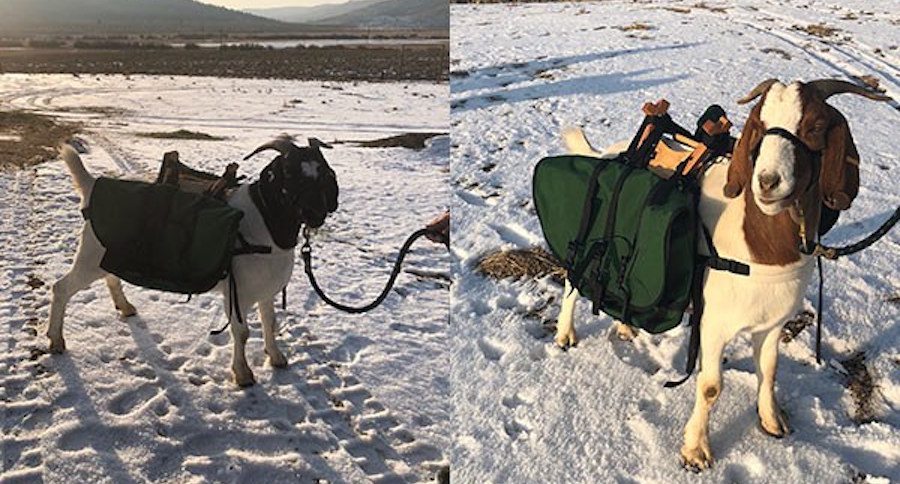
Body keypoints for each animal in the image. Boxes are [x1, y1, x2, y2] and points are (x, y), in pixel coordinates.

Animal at [49, 138, 338, 387]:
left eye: (323, 172)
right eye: (288, 172)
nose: (315, 213)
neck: (264, 224)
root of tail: (92, 186)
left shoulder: (266, 291)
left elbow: (271, 323)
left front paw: (276, 358)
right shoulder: (237, 293)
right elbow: (242, 332)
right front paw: (243, 374)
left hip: (108, 255)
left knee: (111, 277)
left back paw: (126, 306)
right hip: (89, 258)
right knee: (61, 288)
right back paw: (55, 341)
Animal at [556, 79, 889, 469]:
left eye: (816, 126)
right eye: (759, 124)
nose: (768, 181)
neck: (758, 248)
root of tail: (609, 152)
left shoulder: (772, 322)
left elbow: (769, 370)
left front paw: (772, 421)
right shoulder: (713, 323)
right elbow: (711, 386)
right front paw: (696, 450)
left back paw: (625, 327)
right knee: (572, 281)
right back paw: (565, 334)